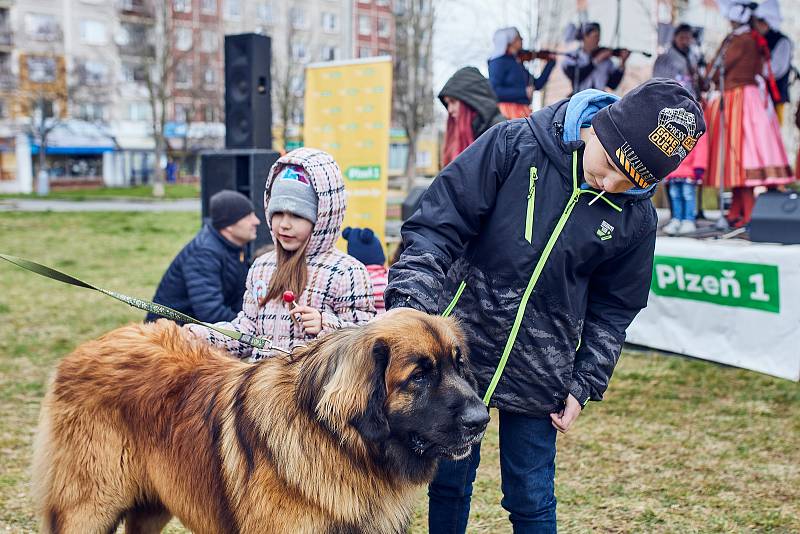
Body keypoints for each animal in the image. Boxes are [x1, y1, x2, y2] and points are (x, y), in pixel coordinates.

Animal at [31, 310, 488, 534]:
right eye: (419, 376)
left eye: (459, 365)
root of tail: (83, 350)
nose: (481, 419)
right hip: (89, 508)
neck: (337, 443)